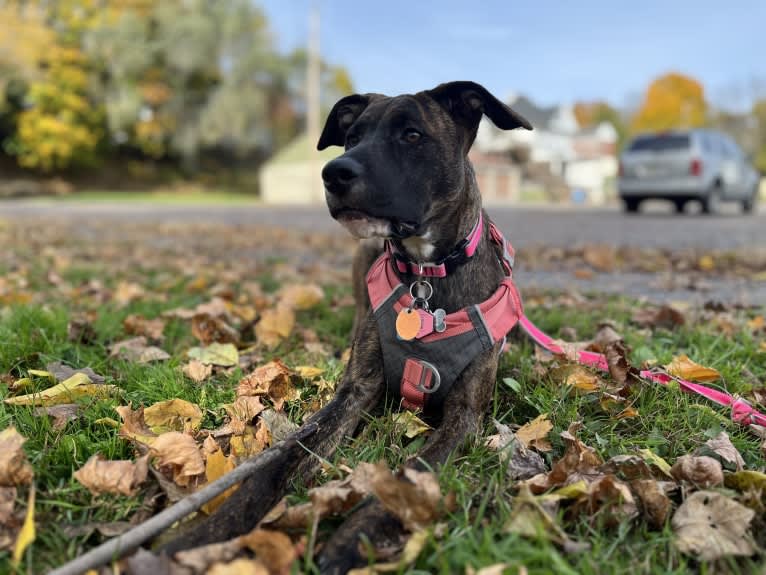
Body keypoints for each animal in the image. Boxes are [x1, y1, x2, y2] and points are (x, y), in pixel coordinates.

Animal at [164, 82, 532, 575]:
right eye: (352, 137)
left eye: (412, 135)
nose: (334, 173)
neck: (426, 276)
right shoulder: (354, 393)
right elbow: (276, 466)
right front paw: (205, 533)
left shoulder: (464, 417)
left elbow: (409, 477)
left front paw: (349, 540)